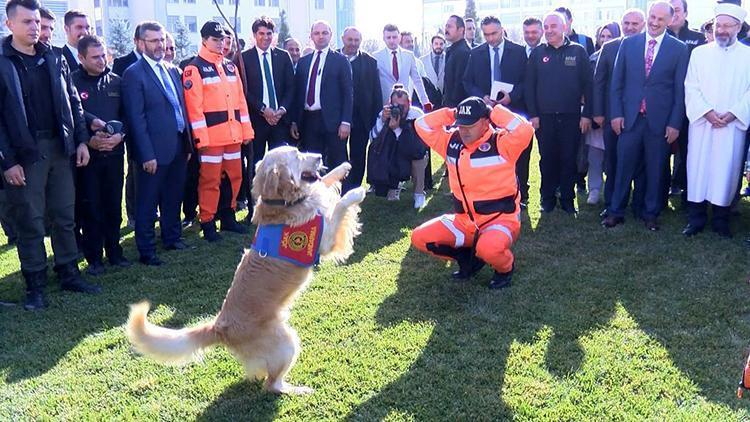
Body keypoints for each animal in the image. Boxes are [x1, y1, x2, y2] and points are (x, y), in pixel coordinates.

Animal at [127, 147, 368, 394]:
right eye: (296, 155)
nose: (319, 156)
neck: (282, 203)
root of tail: (219, 326)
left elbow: (324, 183)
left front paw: (342, 168)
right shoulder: (323, 241)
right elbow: (340, 206)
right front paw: (356, 192)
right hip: (287, 342)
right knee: (272, 384)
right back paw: (299, 390)